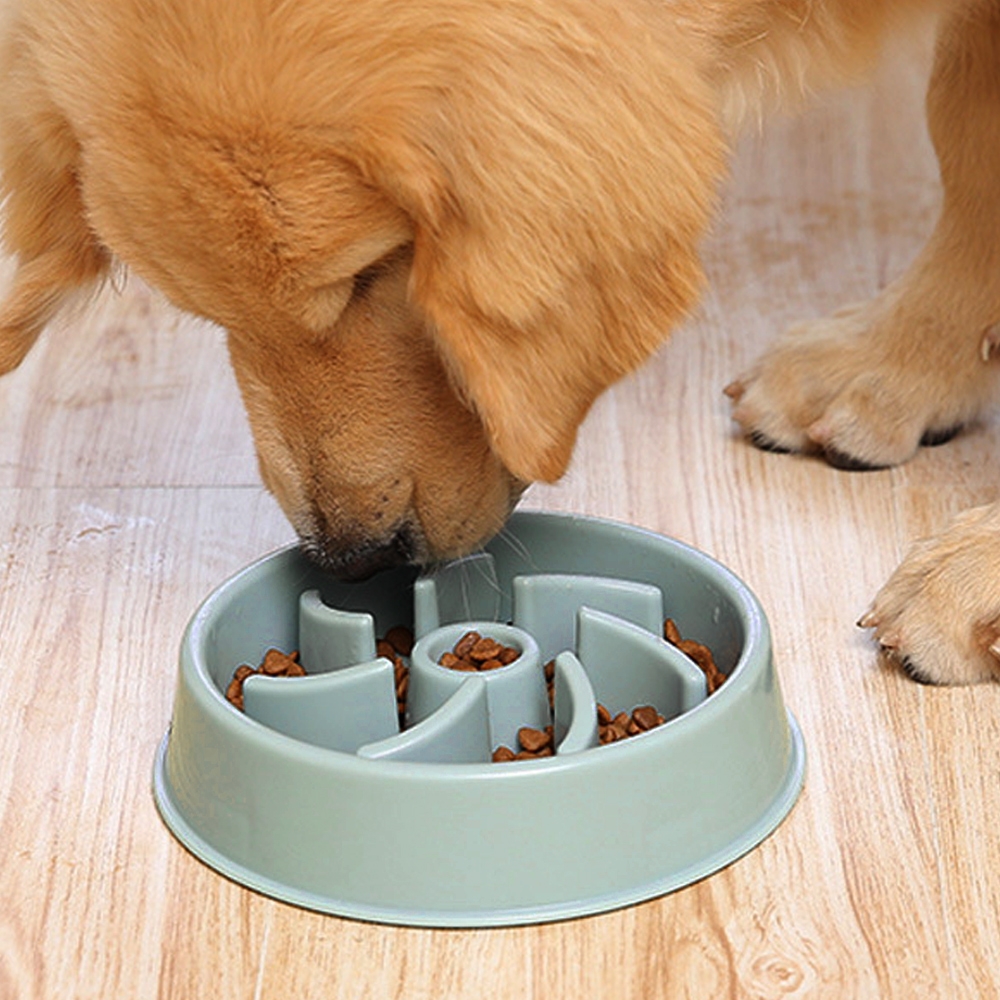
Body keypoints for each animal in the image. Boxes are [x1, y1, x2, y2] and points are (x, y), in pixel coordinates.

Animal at [0, 0, 996, 683]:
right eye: (210, 314)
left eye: (374, 274)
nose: (352, 561)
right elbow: (969, 140)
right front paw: (903, 360)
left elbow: (962, 128)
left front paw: (975, 570)